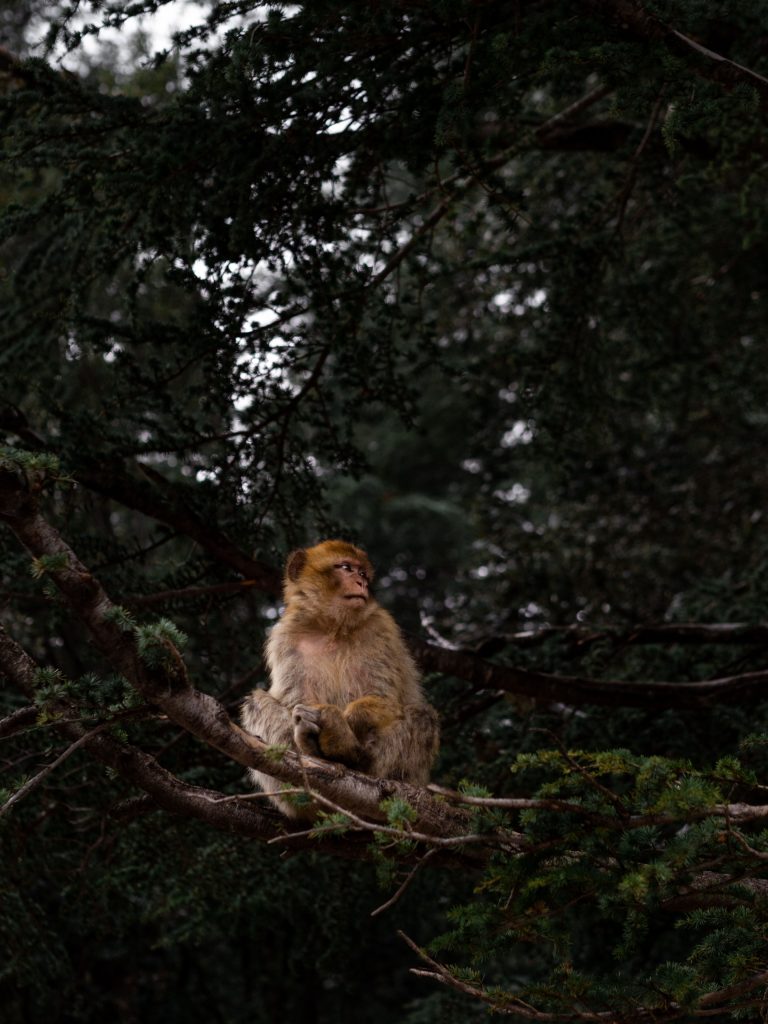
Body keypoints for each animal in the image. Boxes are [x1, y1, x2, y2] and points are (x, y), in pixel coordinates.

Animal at [243, 540, 442, 819]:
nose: (361, 583)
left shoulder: (380, 628)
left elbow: (383, 697)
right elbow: (296, 701)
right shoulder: (284, 637)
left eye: (362, 573)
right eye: (345, 568)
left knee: (422, 716)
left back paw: (354, 756)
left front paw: (340, 726)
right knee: (256, 702)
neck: (332, 627)